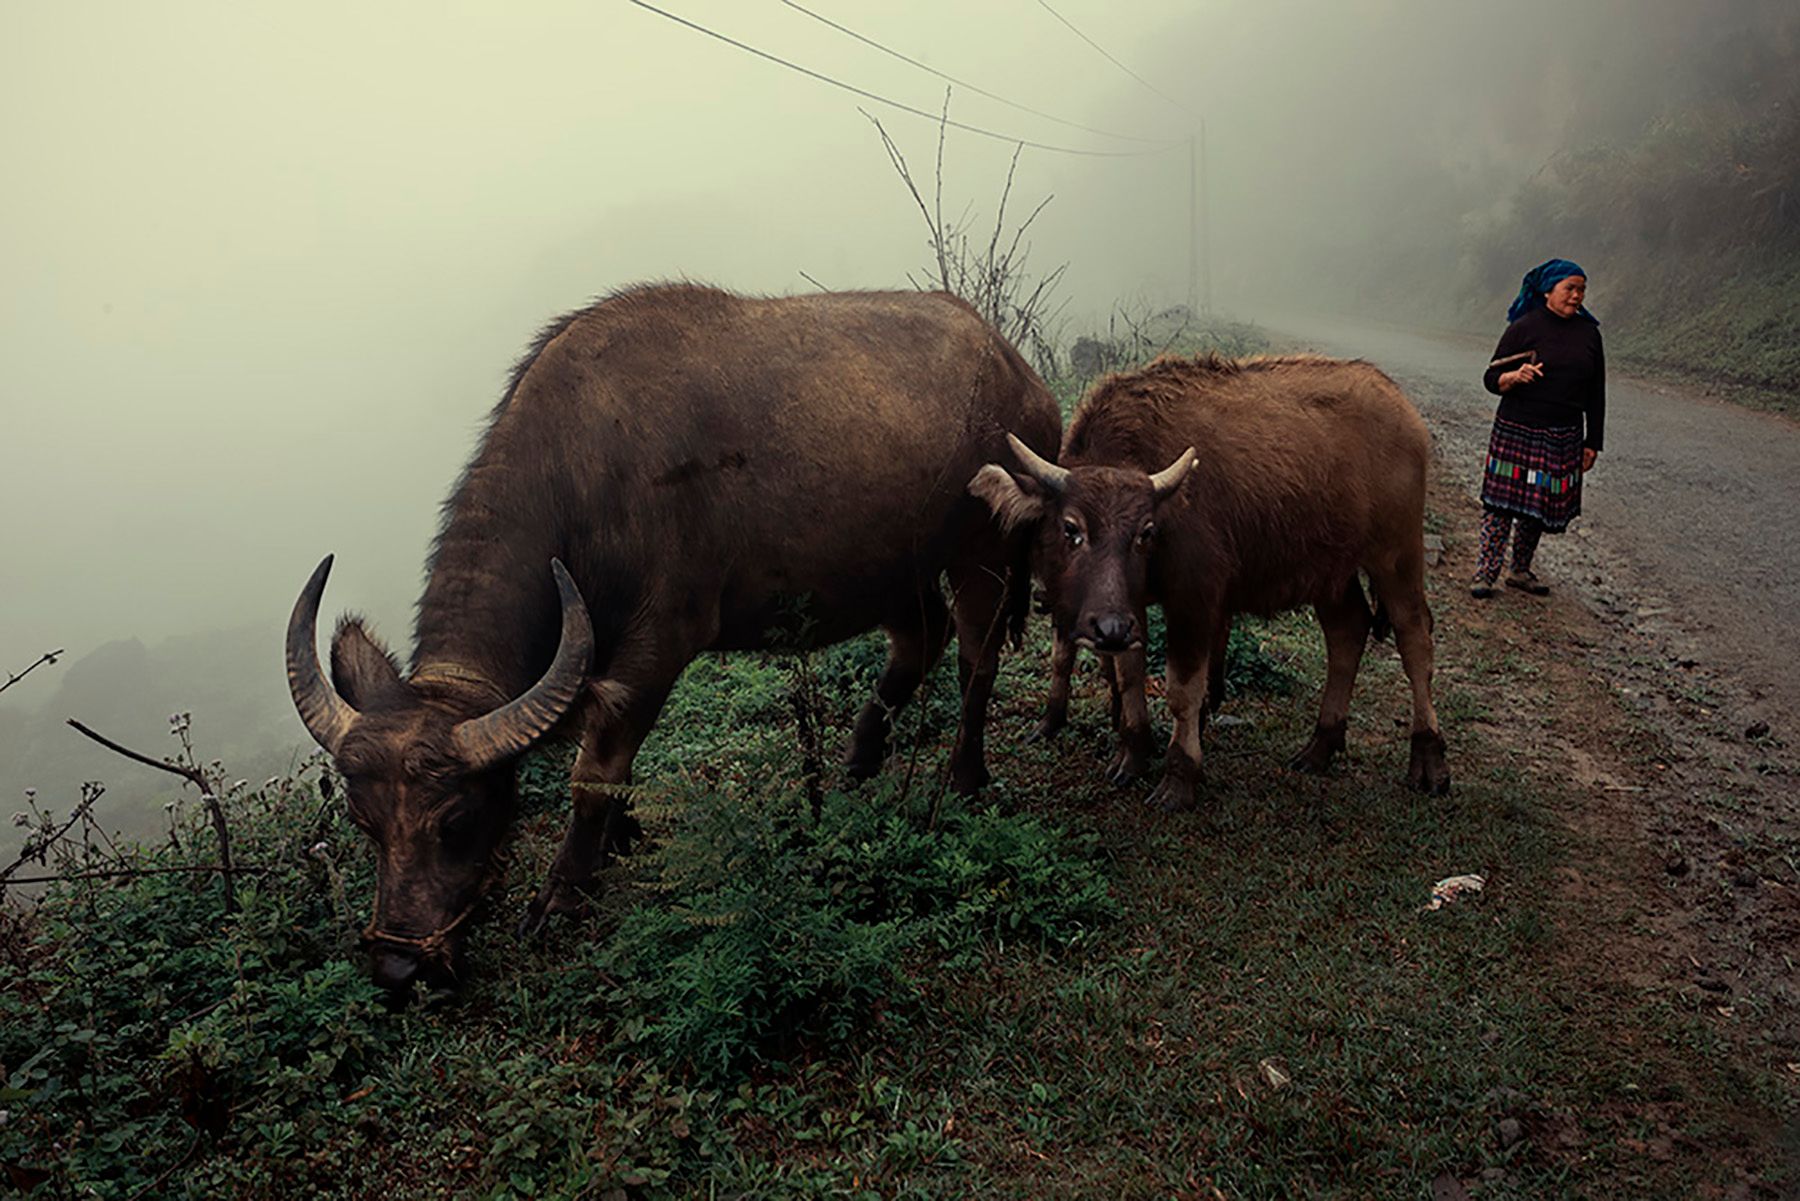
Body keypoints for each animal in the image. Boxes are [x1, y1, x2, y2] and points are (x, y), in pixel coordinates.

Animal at [287, 284, 1060, 993]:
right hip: (889, 571)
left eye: (455, 821)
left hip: (985, 548)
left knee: (975, 656)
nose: (398, 965)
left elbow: (594, 770)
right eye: (361, 820)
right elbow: (613, 763)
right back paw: (857, 762)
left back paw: (965, 775)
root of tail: (1019, 373)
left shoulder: (659, 644)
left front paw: (564, 890)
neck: (585, 476)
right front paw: (620, 840)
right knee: (920, 640)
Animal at [971, 353, 1450, 811]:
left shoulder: (1195, 600)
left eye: (1146, 532)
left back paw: (1429, 760)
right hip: (1331, 571)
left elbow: (1183, 691)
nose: (1109, 628)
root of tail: (1396, 400)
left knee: (1415, 639)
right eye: (1071, 528)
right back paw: (1320, 746)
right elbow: (1128, 675)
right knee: (1347, 632)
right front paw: (1133, 754)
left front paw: (1179, 777)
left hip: (1396, 554)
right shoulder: (1127, 607)